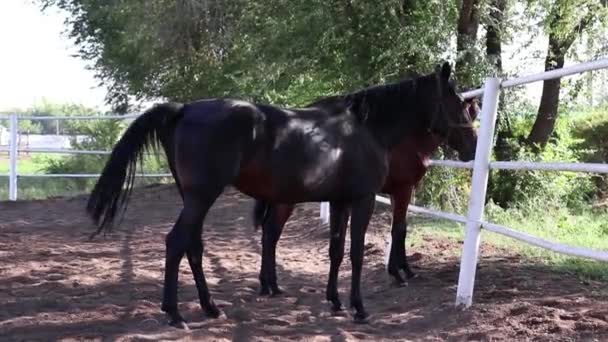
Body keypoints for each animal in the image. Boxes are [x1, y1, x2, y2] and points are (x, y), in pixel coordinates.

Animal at [253, 98, 480, 294]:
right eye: (464, 115)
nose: (473, 149)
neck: (405, 142)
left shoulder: (396, 193)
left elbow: (401, 228)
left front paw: (405, 269)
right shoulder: (403, 190)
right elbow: (398, 229)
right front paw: (398, 273)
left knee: (269, 233)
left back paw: (268, 284)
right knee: (271, 232)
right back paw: (272, 286)